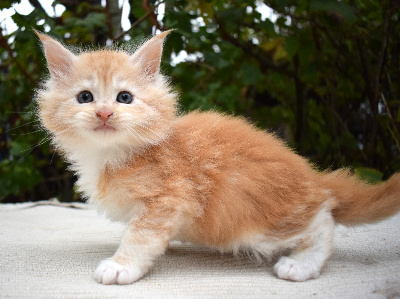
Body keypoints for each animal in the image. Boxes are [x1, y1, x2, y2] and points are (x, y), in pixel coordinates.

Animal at [35, 31, 400, 286]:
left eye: (124, 98)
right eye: (85, 97)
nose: (104, 113)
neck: (117, 153)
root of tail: (311, 175)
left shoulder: (169, 196)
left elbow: (140, 236)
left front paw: (121, 265)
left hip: (259, 221)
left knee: (323, 217)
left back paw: (301, 263)